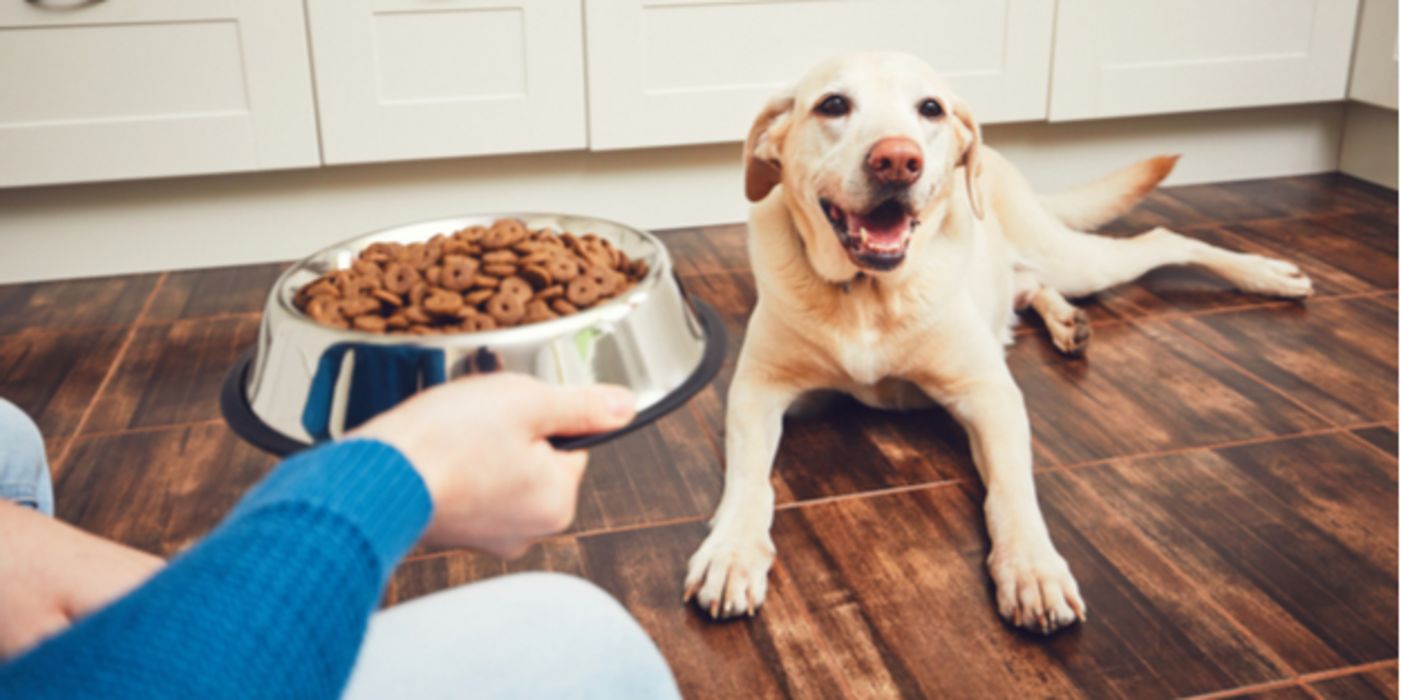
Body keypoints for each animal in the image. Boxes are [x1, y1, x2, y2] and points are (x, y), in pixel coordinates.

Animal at [680, 53, 1311, 635]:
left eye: (930, 108)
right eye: (833, 104)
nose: (898, 159)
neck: (869, 294)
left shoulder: (990, 396)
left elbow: (1010, 489)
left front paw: (1032, 568)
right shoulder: (757, 391)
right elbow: (750, 483)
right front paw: (731, 552)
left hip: (1075, 257)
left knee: (1160, 239)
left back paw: (1269, 275)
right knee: (1031, 286)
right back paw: (1068, 322)